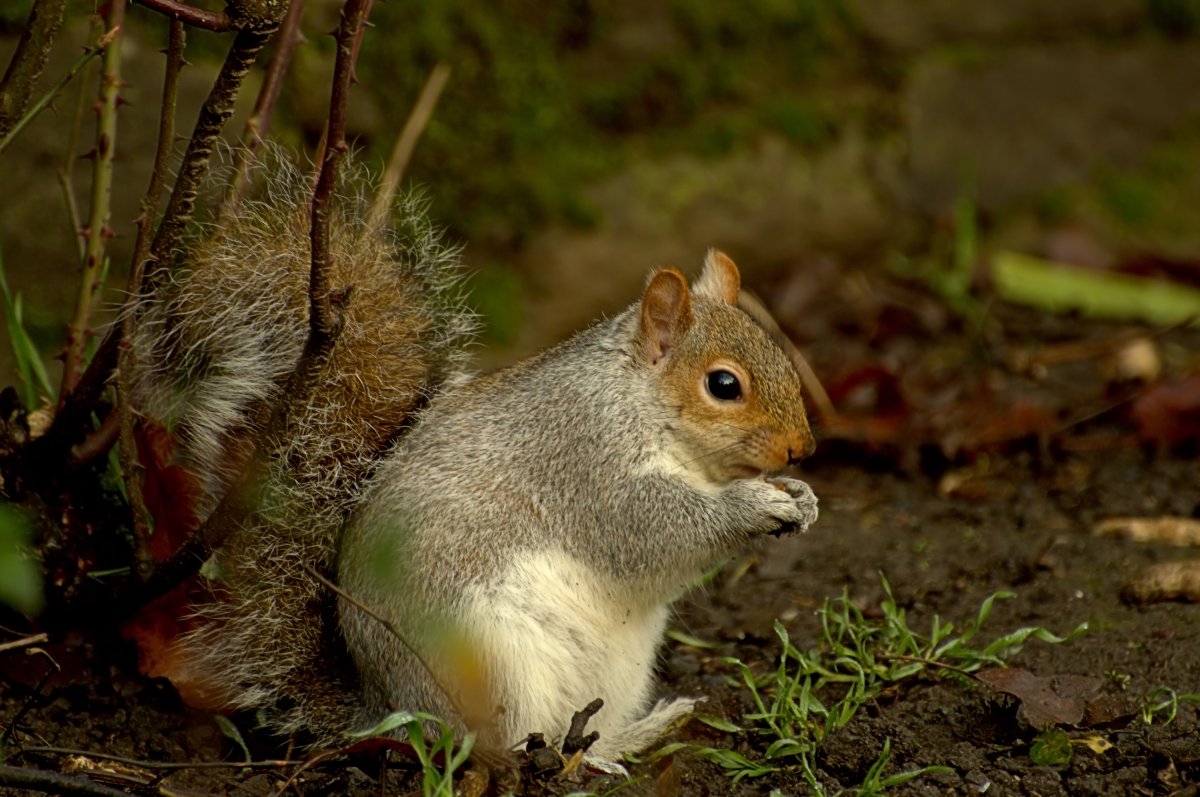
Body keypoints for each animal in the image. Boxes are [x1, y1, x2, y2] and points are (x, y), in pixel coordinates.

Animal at [129, 151, 816, 768]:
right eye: (723, 385)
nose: (802, 448)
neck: (639, 400)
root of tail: (387, 708)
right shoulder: (583, 456)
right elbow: (646, 528)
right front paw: (752, 504)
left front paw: (800, 498)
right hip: (488, 661)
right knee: (502, 747)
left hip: (613, 670)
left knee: (574, 731)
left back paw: (631, 737)